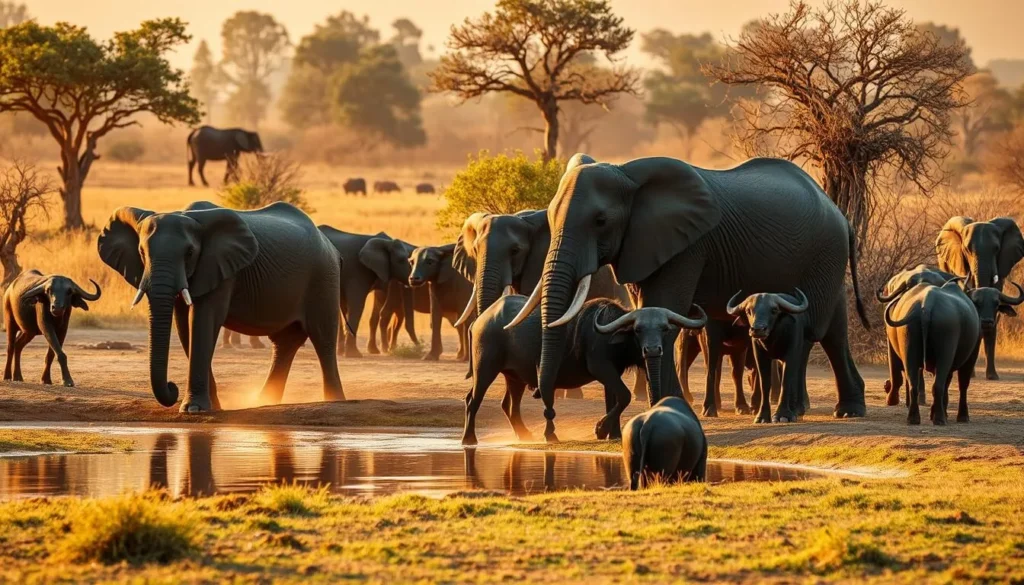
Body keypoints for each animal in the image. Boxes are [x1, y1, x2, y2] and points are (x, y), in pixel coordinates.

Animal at [98, 201, 345, 412]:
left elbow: (203, 318)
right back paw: (264, 401)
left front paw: (194, 409)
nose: (172, 386)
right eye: (141, 252)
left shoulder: (221, 268)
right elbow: (184, 325)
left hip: (324, 276)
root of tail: (328, 243)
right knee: (285, 343)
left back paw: (335, 401)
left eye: (189, 253)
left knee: (322, 337)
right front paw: (211, 407)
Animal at [317, 226, 420, 357]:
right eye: (401, 260)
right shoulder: (357, 270)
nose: (420, 347)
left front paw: (373, 351)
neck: (386, 242)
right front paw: (354, 355)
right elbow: (357, 304)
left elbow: (378, 302)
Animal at [463, 295, 707, 445]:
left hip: (515, 377)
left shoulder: (613, 372)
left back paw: (526, 436)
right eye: (638, 329)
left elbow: (614, 398)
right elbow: (624, 395)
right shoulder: (601, 367)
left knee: (509, 404)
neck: (611, 335)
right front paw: (600, 429)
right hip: (485, 368)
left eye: (664, 328)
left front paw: (613, 434)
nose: (653, 349)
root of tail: (481, 320)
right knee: (473, 399)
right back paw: (469, 439)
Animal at [508, 154, 870, 442]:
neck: (627, 173)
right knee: (832, 332)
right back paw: (836, 409)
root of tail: (842, 216)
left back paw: (833, 412)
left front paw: (666, 408)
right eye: (550, 217)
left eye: (601, 221)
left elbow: (666, 308)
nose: (546, 413)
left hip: (824, 256)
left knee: (818, 331)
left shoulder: (687, 248)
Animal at [882, 280, 1023, 424]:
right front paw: (962, 416)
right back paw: (939, 419)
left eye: (996, 304)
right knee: (938, 385)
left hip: (910, 352)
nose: (987, 321)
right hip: (945, 354)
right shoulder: (970, 356)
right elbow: (962, 384)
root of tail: (927, 305)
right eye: (977, 302)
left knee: (914, 385)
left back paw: (914, 418)